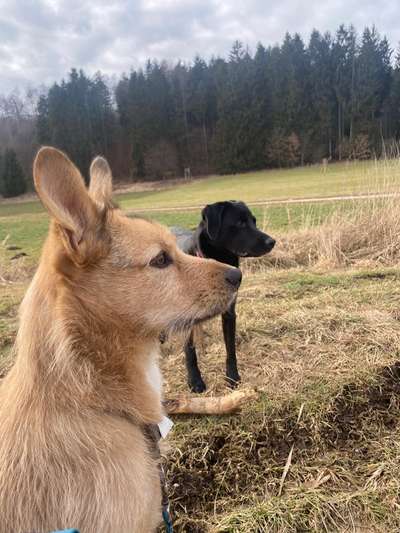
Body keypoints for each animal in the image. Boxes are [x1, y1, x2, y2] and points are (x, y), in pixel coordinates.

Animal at [175, 200, 276, 390]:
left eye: (254, 221)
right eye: (240, 223)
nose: (272, 241)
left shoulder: (229, 314)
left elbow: (231, 349)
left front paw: (232, 376)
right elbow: (190, 352)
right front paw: (195, 381)